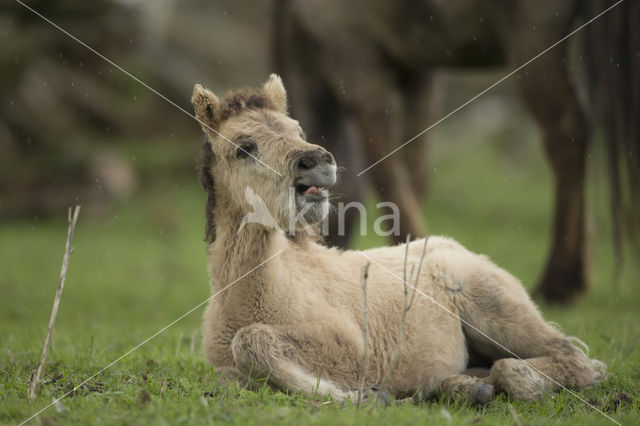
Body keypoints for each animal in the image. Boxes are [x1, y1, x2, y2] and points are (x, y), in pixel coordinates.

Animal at [272, 0, 636, 306]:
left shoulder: (351, 51)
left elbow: (386, 170)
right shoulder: (417, 70)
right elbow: (413, 169)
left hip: (532, 35)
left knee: (566, 130)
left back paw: (557, 282)